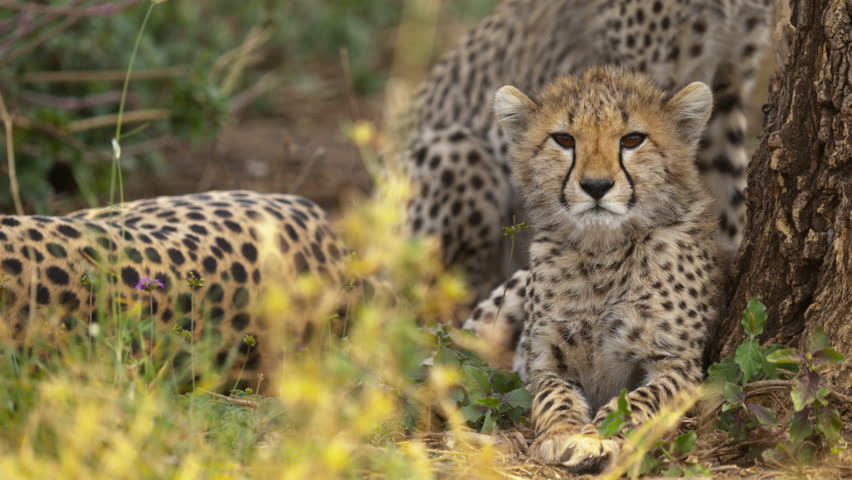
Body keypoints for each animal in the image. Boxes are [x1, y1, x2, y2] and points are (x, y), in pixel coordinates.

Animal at [404, 0, 773, 302]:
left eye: (632, 140)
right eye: (566, 141)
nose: (596, 187)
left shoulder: (728, 80)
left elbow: (724, 193)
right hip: (456, 148)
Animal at [473, 66, 724, 473]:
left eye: (633, 139)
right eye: (563, 139)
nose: (596, 186)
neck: (604, 252)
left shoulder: (679, 365)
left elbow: (640, 399)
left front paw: (605, 435)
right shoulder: (545, 361)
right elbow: (554, 394)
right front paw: (566, 435)